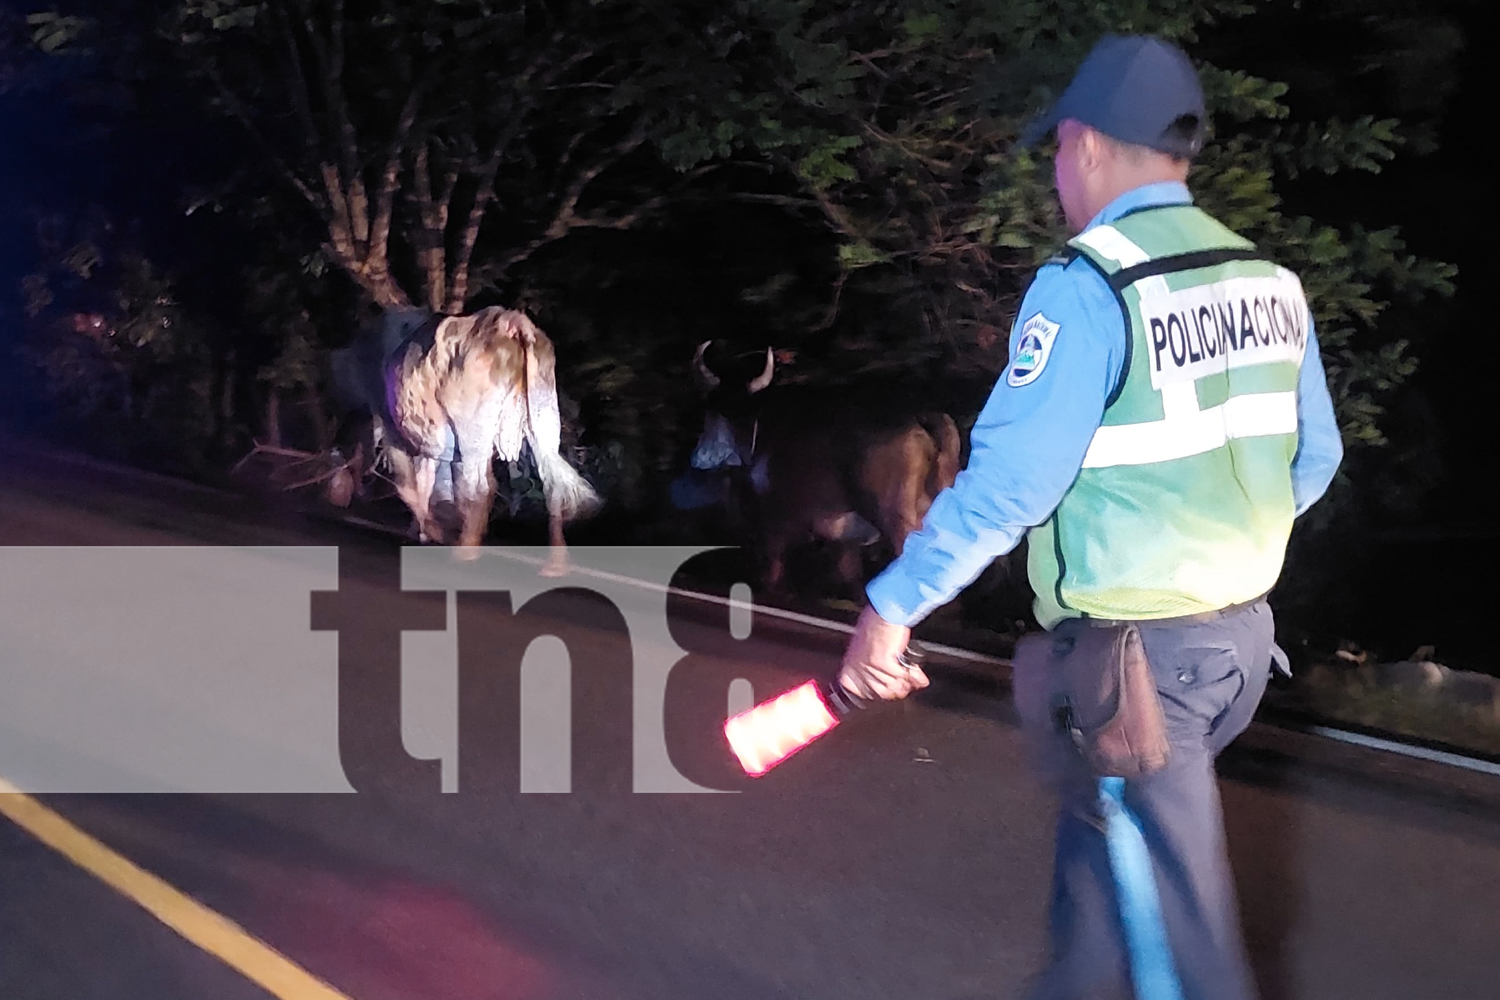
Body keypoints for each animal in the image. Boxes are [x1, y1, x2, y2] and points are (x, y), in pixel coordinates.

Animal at [678, 340, 960, 599]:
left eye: (717, 415)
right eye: (709, 410)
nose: (701, 458)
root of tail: (922, 416)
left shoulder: (773, 526)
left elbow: (772, 574)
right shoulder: (844, 539)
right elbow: (851, 577)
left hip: (895, 518)